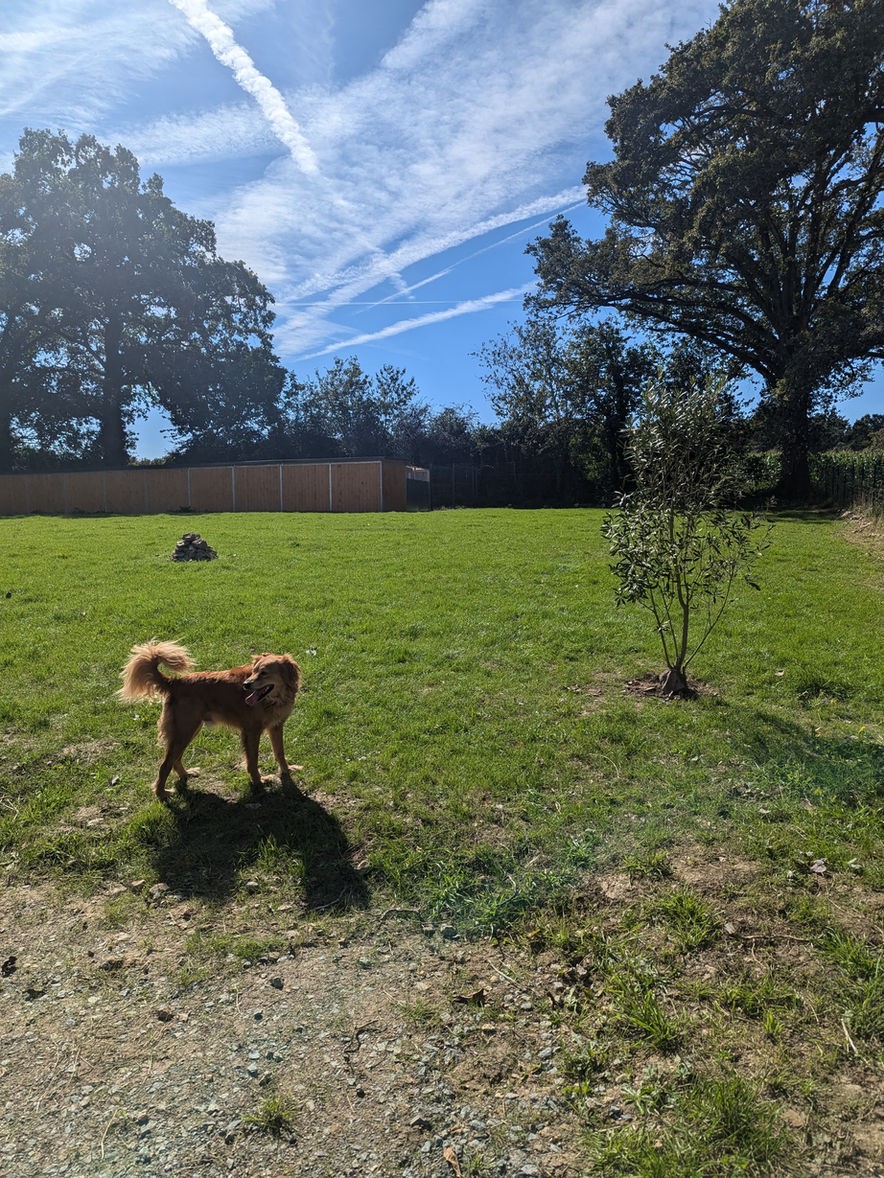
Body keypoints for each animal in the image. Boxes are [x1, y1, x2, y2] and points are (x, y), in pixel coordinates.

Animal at [119, 640, 301, 802]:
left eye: (264, 673)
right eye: (253, 671)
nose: (246, 685)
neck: (275, 698)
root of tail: (175, 682)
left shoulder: (276, 726)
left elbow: (279, 752)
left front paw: (287, 771)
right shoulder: (252, 731)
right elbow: (253, 760)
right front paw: (259, 781)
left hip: (190, 729)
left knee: (175, 758)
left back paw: (185, 774)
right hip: (185, 730)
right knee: (165, 764)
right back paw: (161, 793)